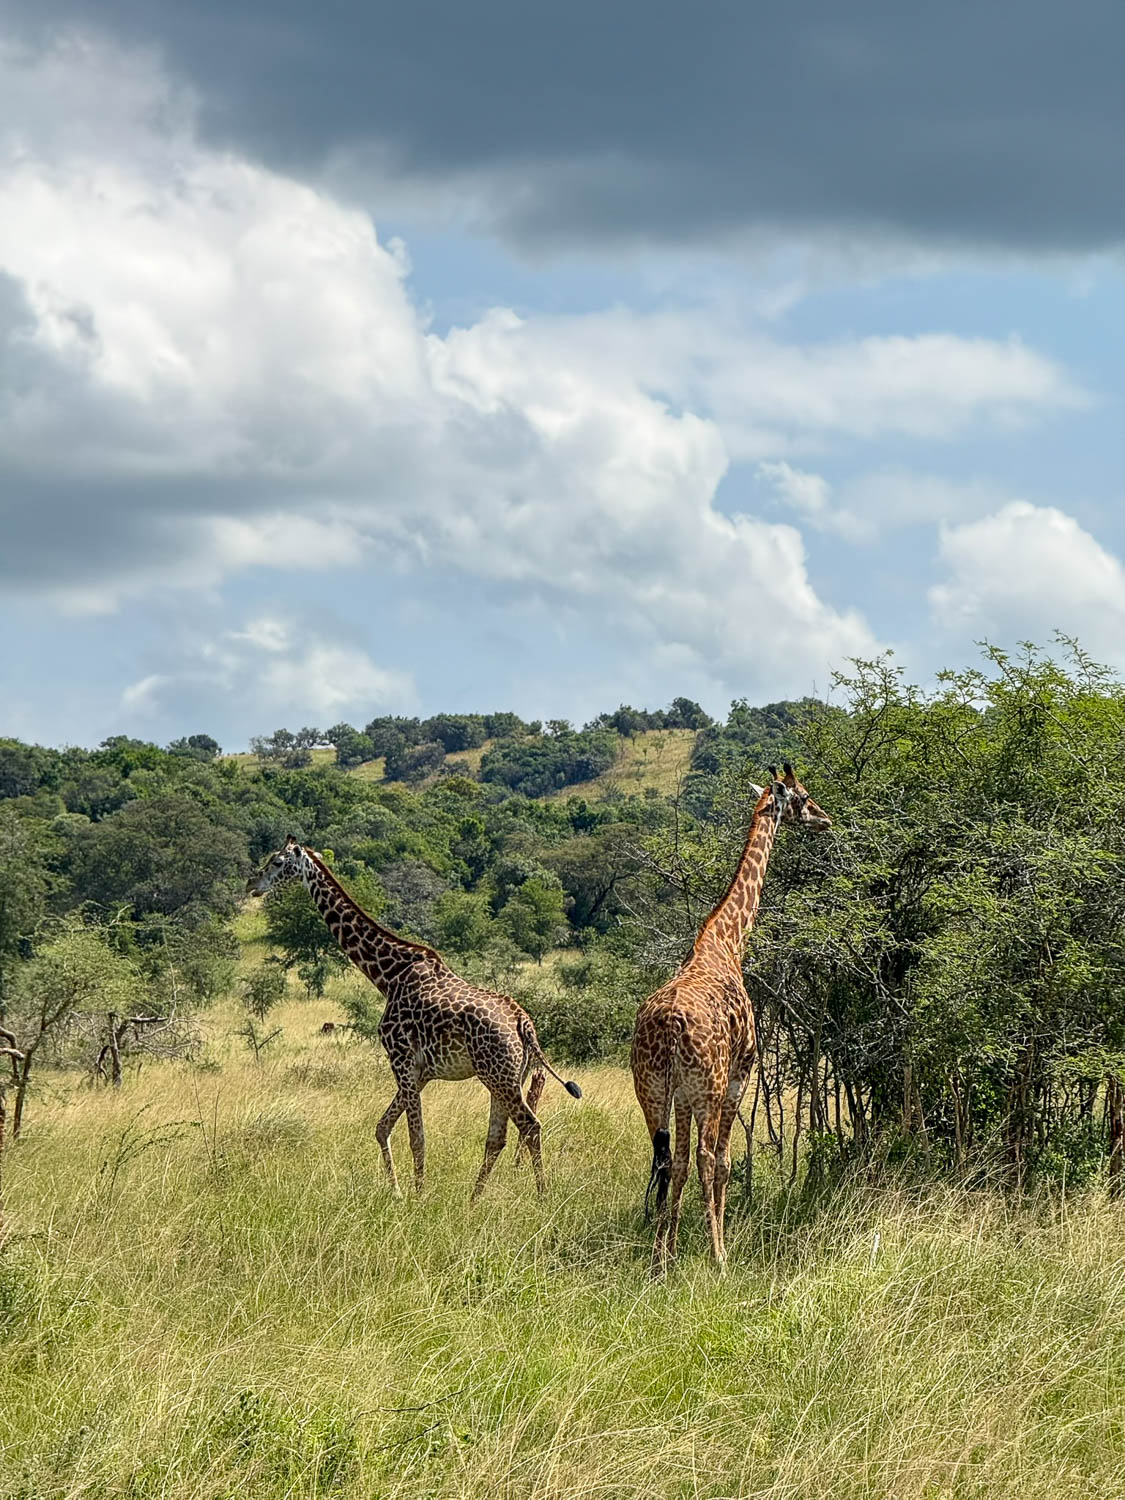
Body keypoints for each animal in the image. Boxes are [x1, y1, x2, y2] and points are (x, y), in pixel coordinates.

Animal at [246, 838, 581, 1198]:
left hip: (498, 1076)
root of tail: (524, 1024)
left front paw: (417, 1196)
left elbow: (416, 1136)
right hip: (508, 1076)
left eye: (277, 862)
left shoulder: (401, 1059)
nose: (252, 884)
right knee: (497, 1137)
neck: (388, 975)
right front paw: (397, 1190)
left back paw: (542, 1196)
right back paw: (473, 1200)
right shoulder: (421, 1071)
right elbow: (382, 1127)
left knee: (530, 1126)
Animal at [631, 764, 831, 1277]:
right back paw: (718, 1254)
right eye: (803, 797)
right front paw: (718, 1245)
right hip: (711, 1086)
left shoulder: (682, 1096)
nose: (825, 819)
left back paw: (660, 1256)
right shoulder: (741, 1074)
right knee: (706, 1158)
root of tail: (668, 1026)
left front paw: (670, 1249)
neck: (727, 940)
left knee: (665, 1159)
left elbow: (679, 1163)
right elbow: (721, 1162)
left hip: (651, 1091)